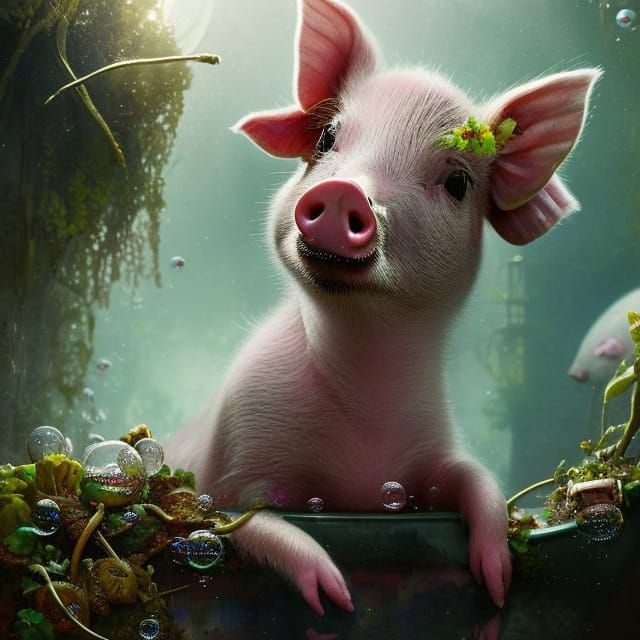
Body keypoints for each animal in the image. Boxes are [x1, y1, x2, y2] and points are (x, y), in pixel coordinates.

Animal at [169, 0, 600, 616]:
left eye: (457, 182)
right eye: (327, 138)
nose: (345, 191)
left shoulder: (431, 450)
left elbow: (477, 480)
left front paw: (496, 585)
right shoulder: (231, 457)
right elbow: (243, 520)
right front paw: (338, 598)